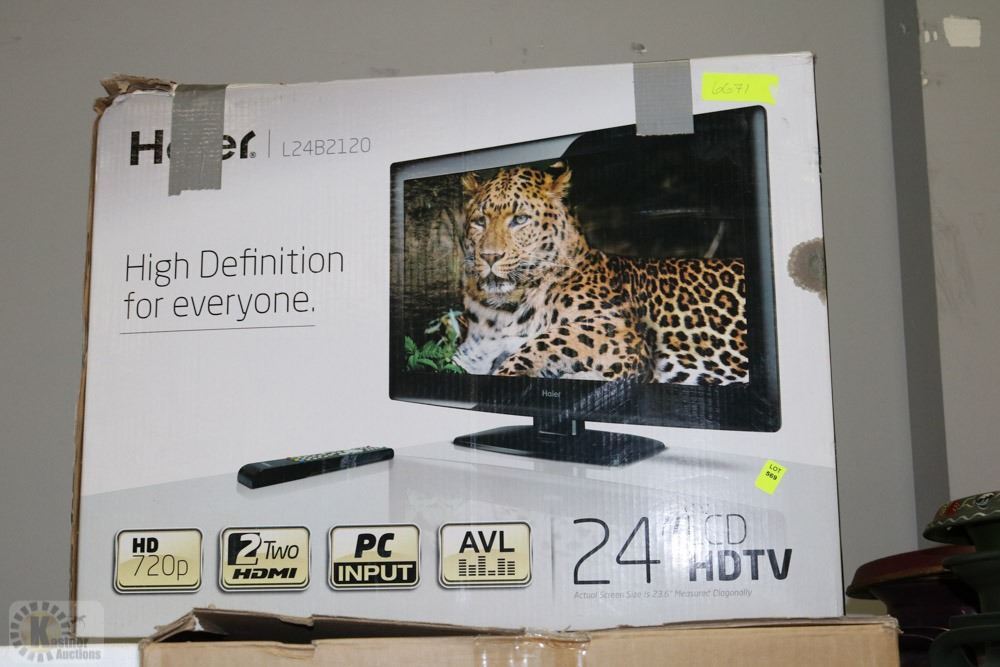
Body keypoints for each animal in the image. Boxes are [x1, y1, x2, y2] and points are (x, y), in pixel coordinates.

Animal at [451, 166, 749, 386]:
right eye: (480, 222)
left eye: (520, 219)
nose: (490, 256)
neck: (505, 308)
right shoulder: (474, 351)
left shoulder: (618, 330)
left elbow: (546, 341)